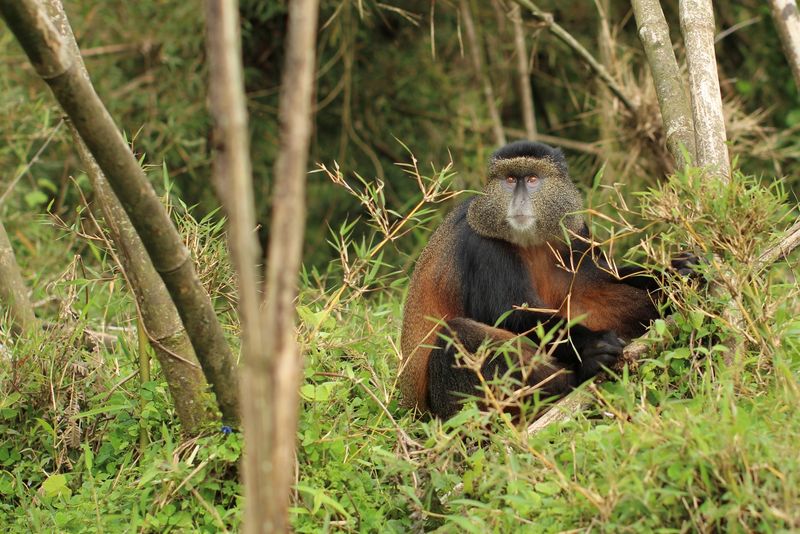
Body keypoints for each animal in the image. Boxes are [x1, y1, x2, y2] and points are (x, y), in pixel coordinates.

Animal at [398, 141, 687, 419]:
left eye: (532, 179)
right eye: (510, 179)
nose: (519, 201)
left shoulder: (575, 234)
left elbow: (600, 278)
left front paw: (676, 272)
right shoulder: (484, 247)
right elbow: (512, 315)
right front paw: (593, 347)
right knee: (456, 334)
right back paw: (575, 377)